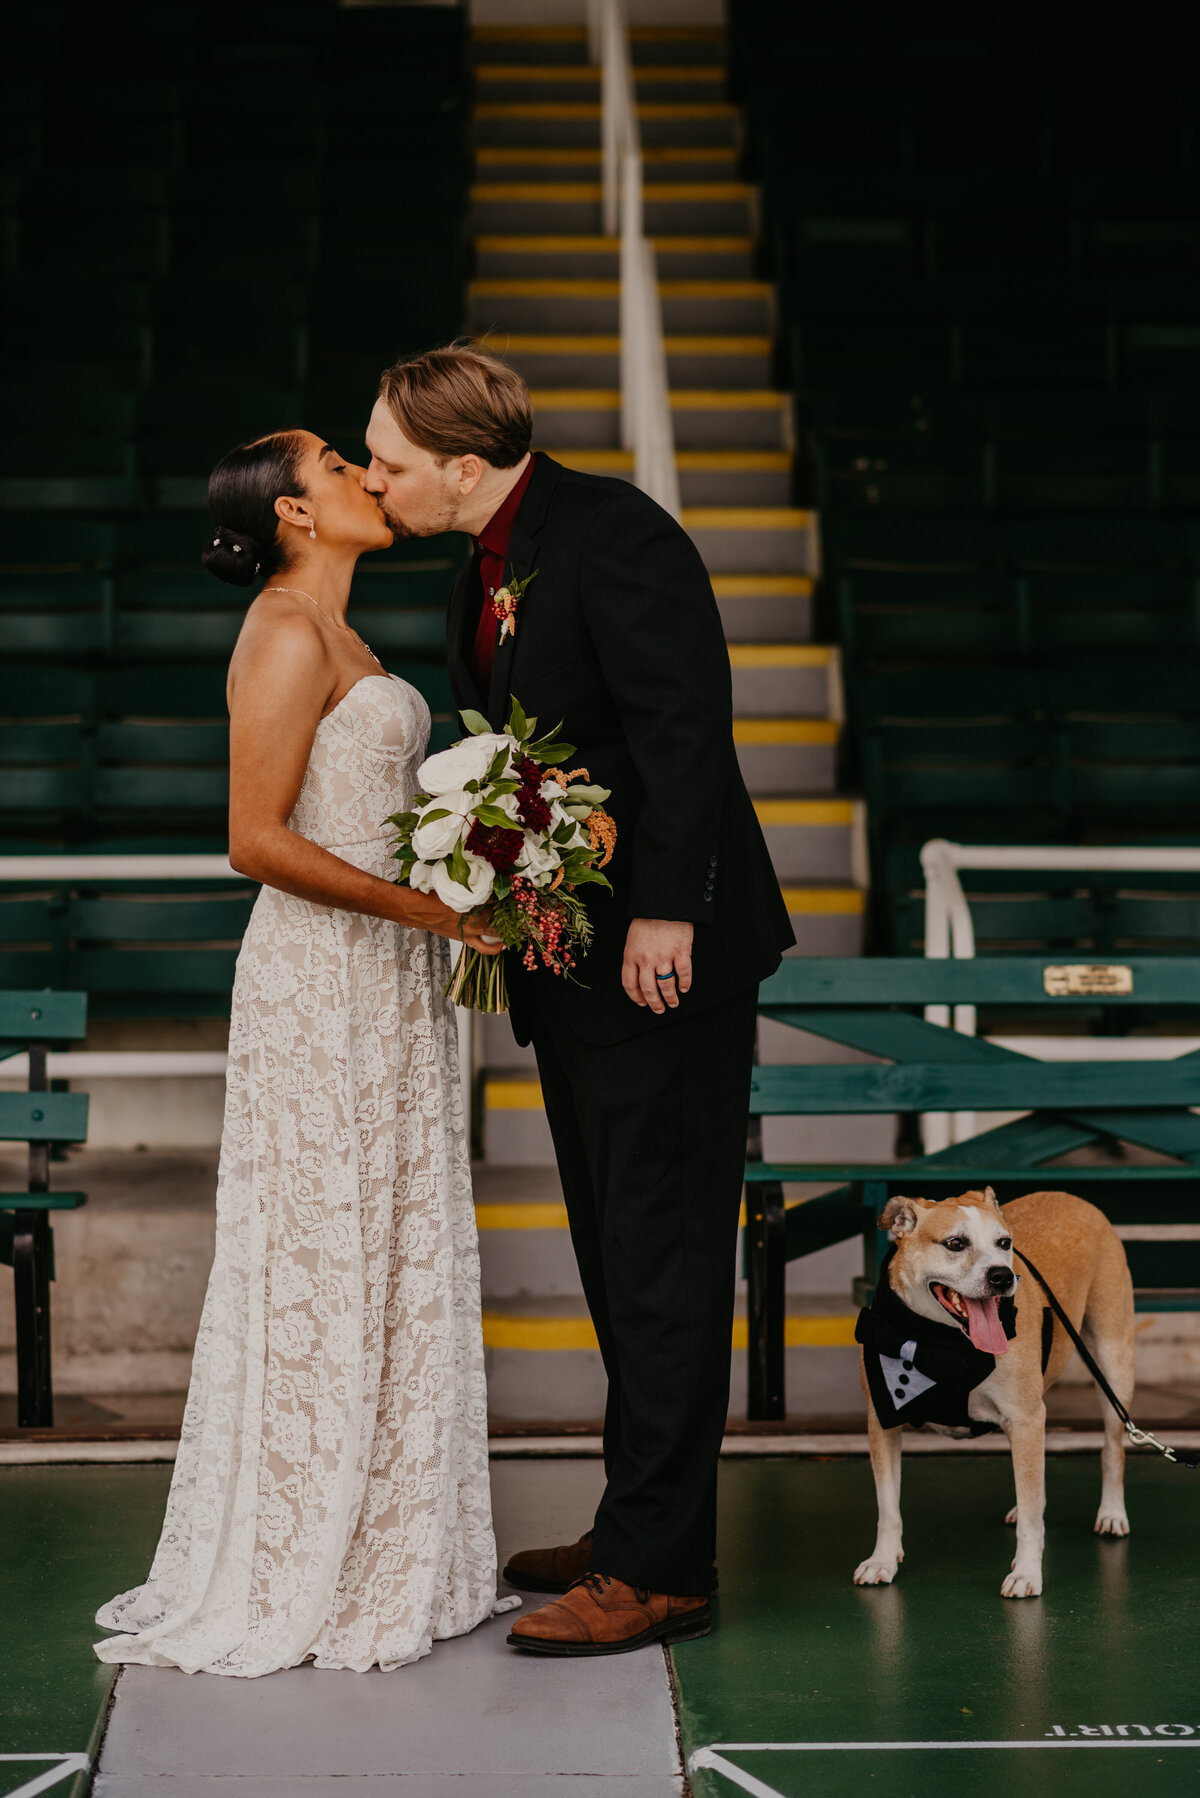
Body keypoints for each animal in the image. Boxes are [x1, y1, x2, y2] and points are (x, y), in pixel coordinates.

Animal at [852, 1186, 1137, 1596]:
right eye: (955, 1243)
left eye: (1004, 1243)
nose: (1002, 1276)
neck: (942, 1343)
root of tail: (1072, 1196)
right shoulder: (883, 1418)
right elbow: (888, 1507)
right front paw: (883, 1561)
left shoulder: (1026, 1418)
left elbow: (1032, 1516)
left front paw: (1028, 1572)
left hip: (1113, 1367)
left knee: (1113, 1449)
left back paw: (1112, 1513)